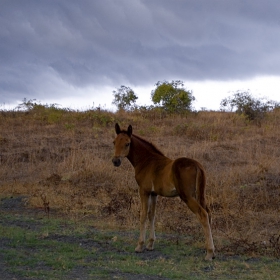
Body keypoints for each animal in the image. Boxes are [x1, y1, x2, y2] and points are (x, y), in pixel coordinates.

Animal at [111, 123, 214, 260]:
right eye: (114, 142)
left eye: (127, 143)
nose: (115, 161)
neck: (146, 160)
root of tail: (198, 166)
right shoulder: (154, 194)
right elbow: (152, 215)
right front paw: (150, 244)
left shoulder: (144, 191)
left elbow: (143, 215)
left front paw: (140, 245)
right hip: (200, 195)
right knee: (208, 213)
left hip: (187, 196)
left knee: (203, 214)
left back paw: (209, 252)